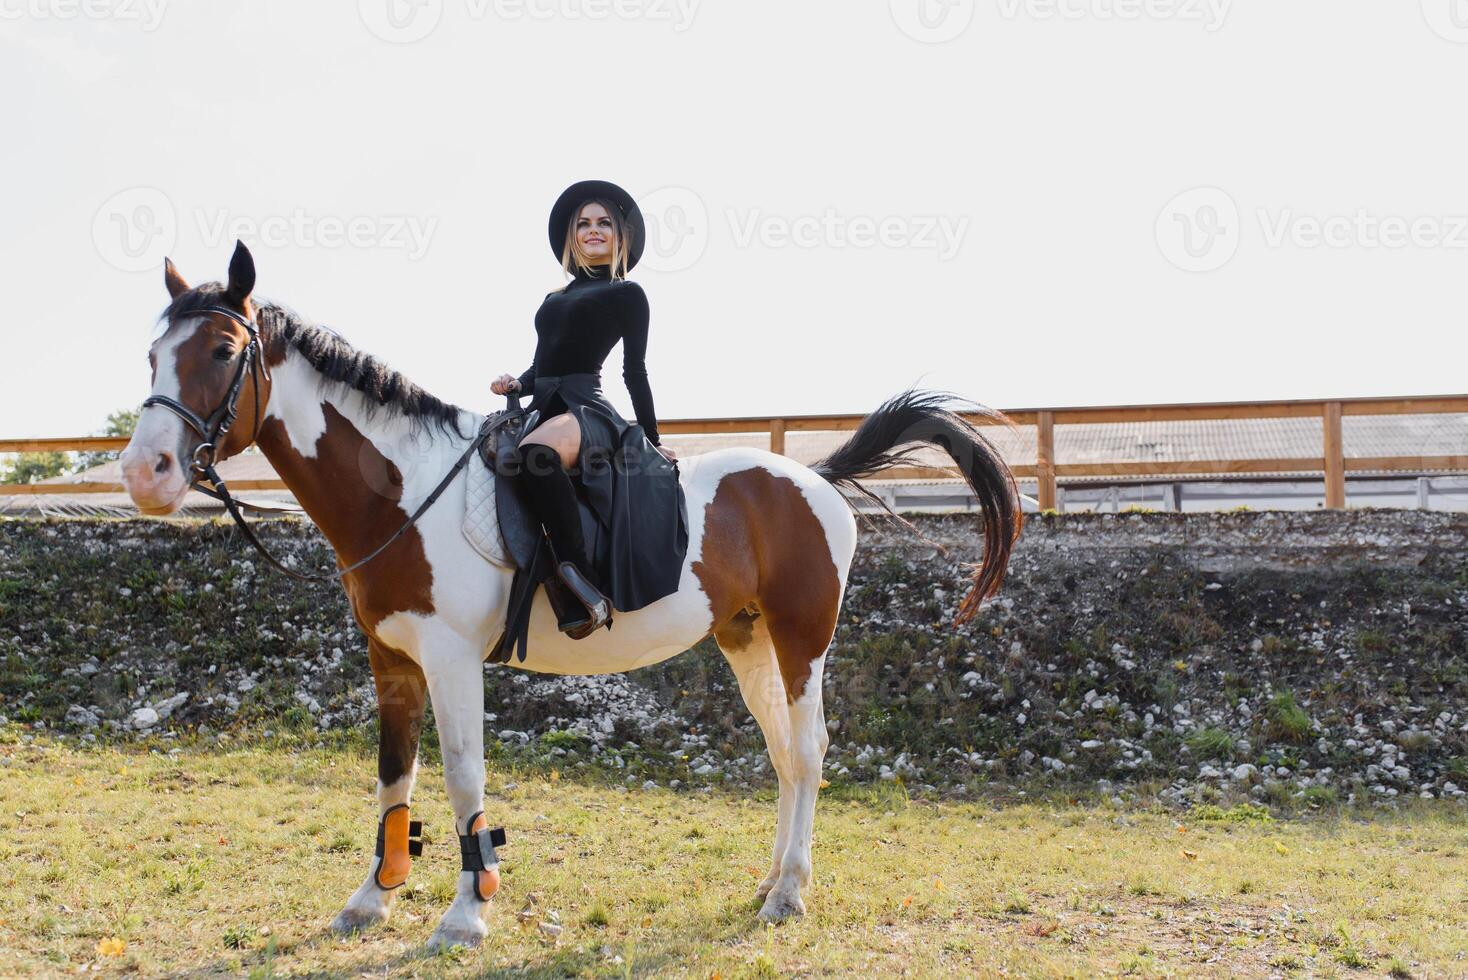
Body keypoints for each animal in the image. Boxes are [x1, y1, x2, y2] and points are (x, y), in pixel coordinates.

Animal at [120, 240, 1021, 950]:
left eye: (224, 351)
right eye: (154, 355)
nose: (143, 475)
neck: (403, 492)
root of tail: (813, 477)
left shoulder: (452, 661)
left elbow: (462, 780)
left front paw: (465, 916)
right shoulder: (391, 660)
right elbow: (392, 779)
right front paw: (371, 900)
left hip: (803, 641)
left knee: (808, 748)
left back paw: (790, 894)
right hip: (746, 637)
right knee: (784, 757)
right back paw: (770, 884)